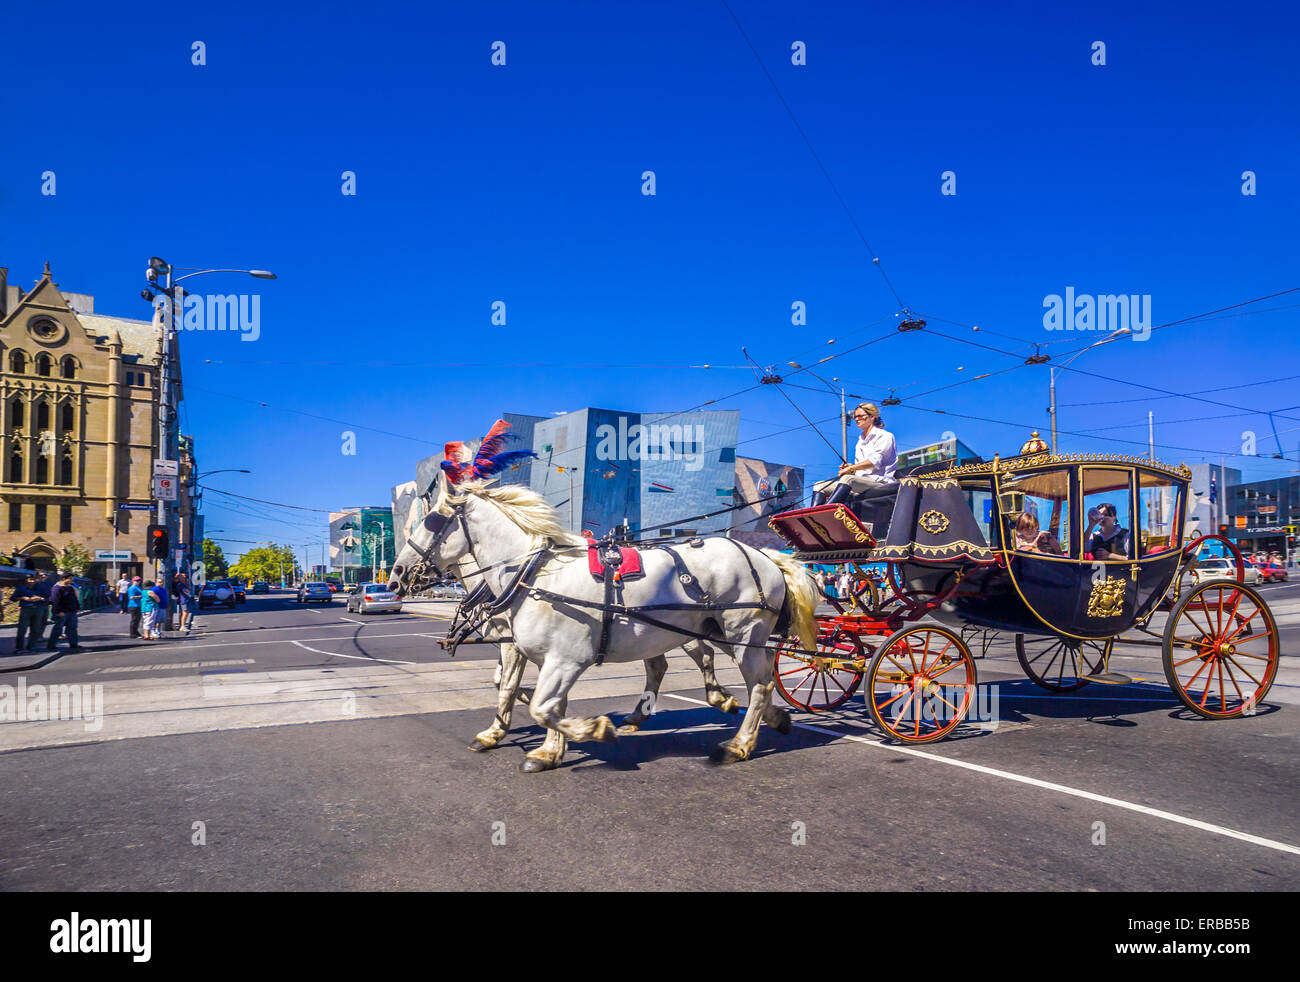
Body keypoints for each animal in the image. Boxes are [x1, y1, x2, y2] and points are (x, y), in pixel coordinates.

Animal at [384, 481, 811, 769]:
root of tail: (767, 556)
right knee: (725, 675)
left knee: (759, 684)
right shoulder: (541, 656)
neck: (533, 574)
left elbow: (539, 704)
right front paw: (547, 749)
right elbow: (532, 697)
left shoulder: (560, 659)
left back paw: (738, 743)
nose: (396, 576)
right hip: (711, 631)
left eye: (433, 521)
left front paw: (594, 730)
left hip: (741, 633)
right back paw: (767, 717)